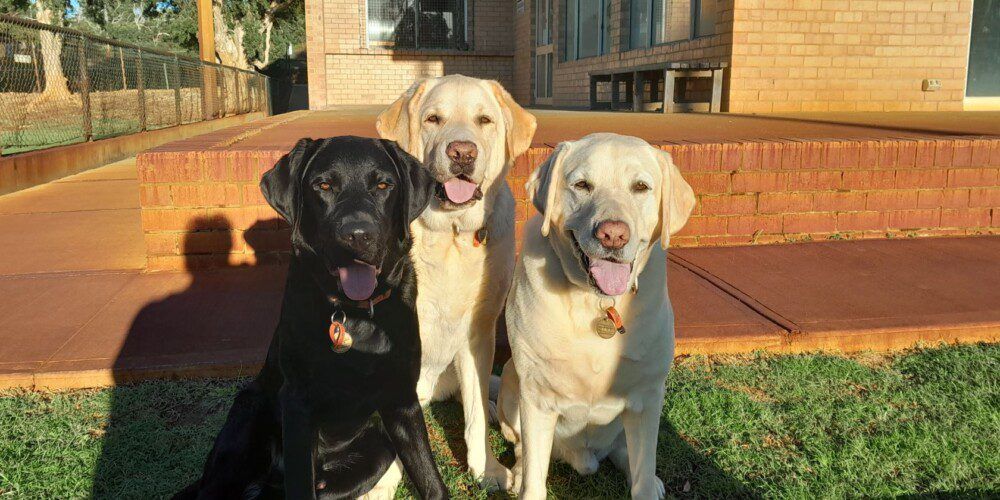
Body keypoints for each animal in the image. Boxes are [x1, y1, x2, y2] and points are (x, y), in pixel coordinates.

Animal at [176, 137, 450, 500]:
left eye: (383, 185)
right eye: (323, 185)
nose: (358, 235)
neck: (354, 312)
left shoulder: (402, 398)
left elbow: (431, 480)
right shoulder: (298, 403)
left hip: (378, 448)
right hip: (248, 419)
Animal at [370, 76, 536, 494]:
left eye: (484, 120)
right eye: (433, 119)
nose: (462, 151)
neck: (452, 236)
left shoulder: (478, 334)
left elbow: (474, 413)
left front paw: (487, 469)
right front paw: (381, 483)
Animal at [494, 134, 696, 500]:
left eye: (641, 187)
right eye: (582, 185)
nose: (613, 234)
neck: (596, 302)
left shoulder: (647, 398)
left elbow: (642, 471)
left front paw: (647, 482)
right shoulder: (537, 397)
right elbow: (534, 476)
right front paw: (525, 479)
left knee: (625, 453)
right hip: (512, 386)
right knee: (522, 450)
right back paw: (516, 473)